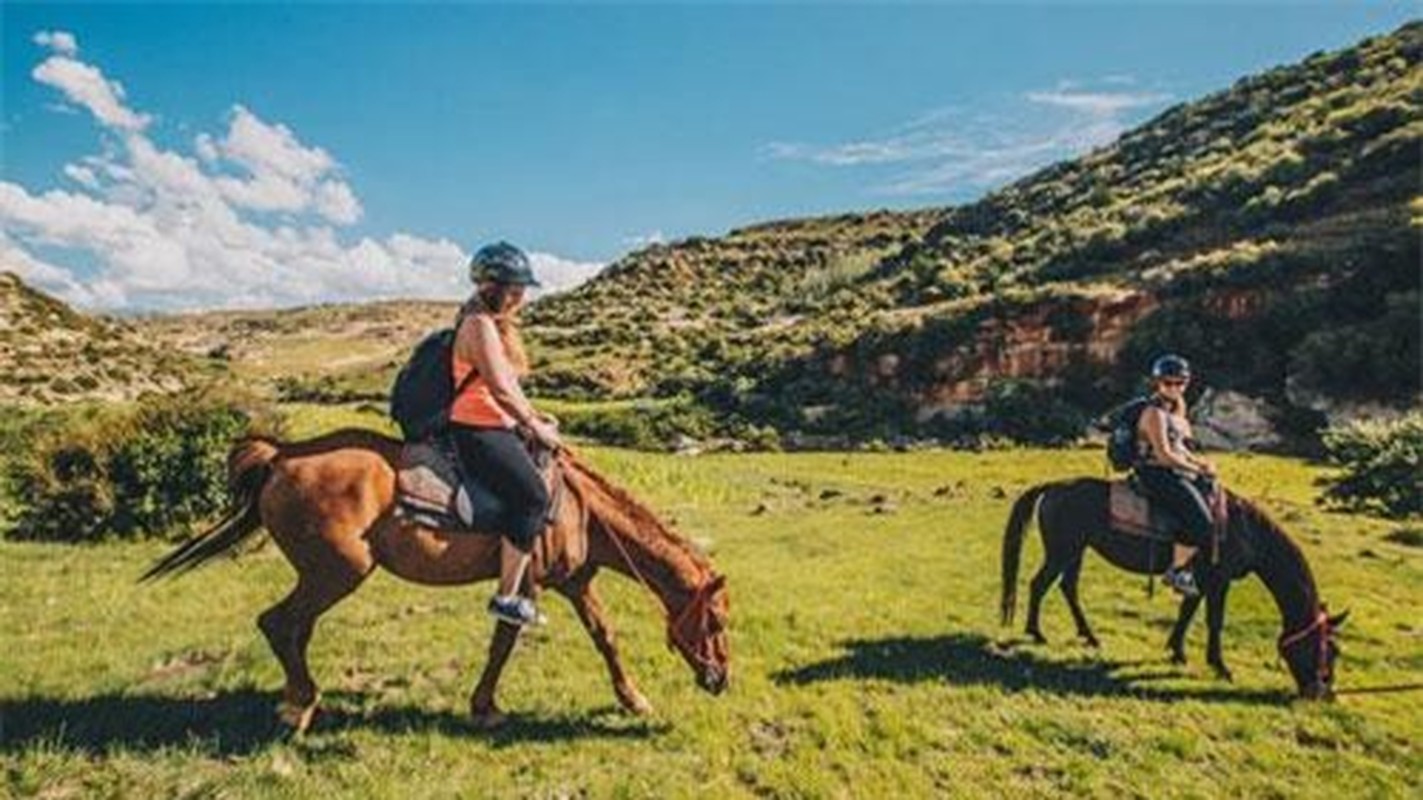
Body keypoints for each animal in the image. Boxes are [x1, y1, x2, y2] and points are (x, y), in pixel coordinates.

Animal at [141, 429, 734, 728]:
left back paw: (296, 699)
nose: (721, 680)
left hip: (324, 575)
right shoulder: (527, 584)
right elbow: (504, 642)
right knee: (278, 623)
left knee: (293, 628)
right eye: (718, 622)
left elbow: (604, 638)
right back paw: (299, 706)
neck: (579, 509)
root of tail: (282, 456)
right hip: (337, 572)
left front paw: (633, 700)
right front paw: (485, 707)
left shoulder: (575, 582)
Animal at [1001, 475, 1343, 694]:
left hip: (1076, 551)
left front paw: (1177, 652)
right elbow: (1214, 620)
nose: (1323, 692)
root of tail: (1055, 487)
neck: (1245, 529)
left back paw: (1088, 635)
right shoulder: (1218, 580)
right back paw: (1036, 632)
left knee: (1067, 587)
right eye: (1329, 648)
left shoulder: (1200, 579)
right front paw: (1220, 667)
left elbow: (1186, 613)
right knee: (1039, 584)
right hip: (1063, 550)